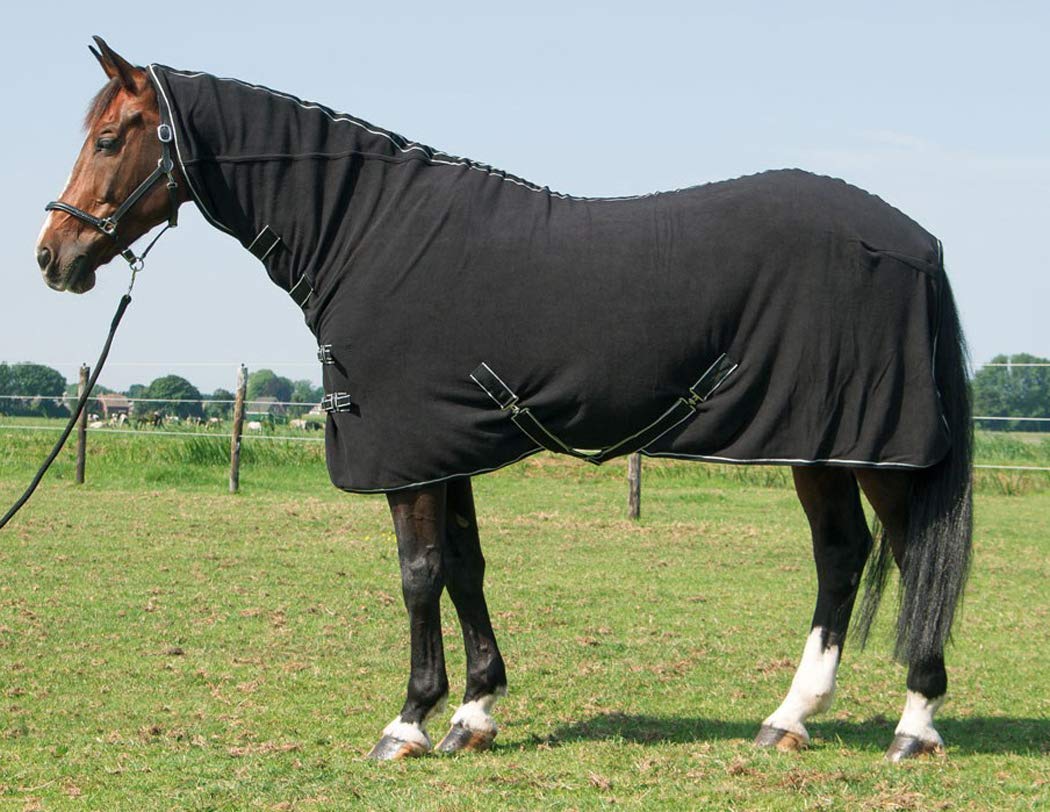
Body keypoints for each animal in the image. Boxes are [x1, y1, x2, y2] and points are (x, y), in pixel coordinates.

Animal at [35, 37, 972, 762]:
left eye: (111, 137)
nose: (53, 255)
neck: (371, 235)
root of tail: (916, 240)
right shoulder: (444, 444)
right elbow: (464, 567)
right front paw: (474, 712)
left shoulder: (409, 453)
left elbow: (418, 575)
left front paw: (408, 722)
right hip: (823, 446)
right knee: (843, 555)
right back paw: (788, 719)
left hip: (868, 444)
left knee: (901, 552)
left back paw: (914, 726)